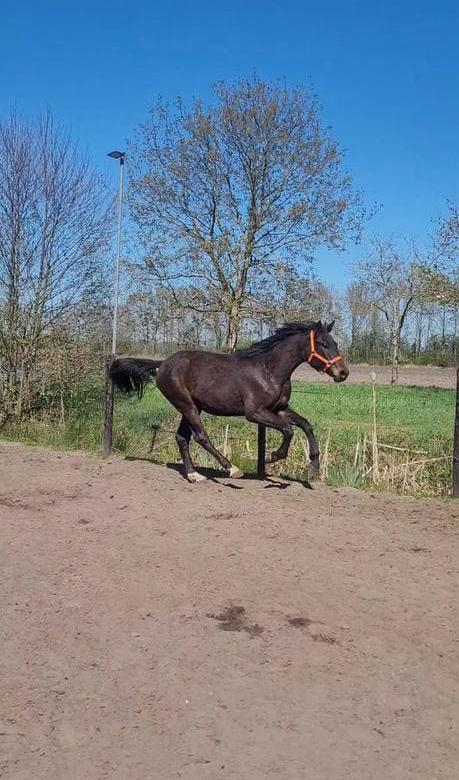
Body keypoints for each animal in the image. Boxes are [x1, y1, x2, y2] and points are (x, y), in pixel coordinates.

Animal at [110, 320, 349, 483]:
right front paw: (271, 457)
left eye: (335, 343)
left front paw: (314, 467)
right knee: (201, 437)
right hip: (186, 405)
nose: (343, 373)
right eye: (322, 343)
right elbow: (288, 430)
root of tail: (162, 364)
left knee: (182, 437)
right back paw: (232, 469)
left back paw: (193, 475)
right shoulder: (254, 413)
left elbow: (306, 425)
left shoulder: (279, 409)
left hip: (193, 406)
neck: (269, 371)